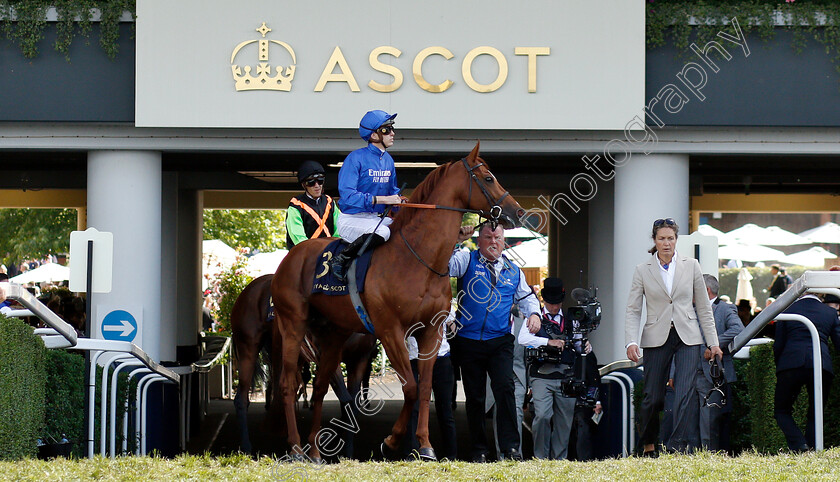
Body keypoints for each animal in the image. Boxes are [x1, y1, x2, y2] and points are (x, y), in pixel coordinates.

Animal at [270, 144, 524, 464]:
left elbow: (424, 387)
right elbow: (411, 387)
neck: (419, 259)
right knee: (288, 385)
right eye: (489, 178)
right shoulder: (390, 330)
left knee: (318, 386)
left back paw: (315, 450)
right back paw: (295, 448)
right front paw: (391, 442)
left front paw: (425, 445)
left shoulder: (431, 331)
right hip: (293, 325)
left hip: (333, 333)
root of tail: (292, 256)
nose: (518, 212)